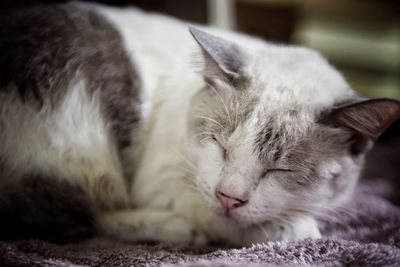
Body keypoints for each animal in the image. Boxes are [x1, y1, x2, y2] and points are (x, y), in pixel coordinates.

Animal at [0, 2, 400, 246]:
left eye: (280, 170)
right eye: (219, 145)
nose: (229, 197)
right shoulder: (165, 182)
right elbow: (242, 223)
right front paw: (291, 228)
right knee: (70, 216)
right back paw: (176, 230)